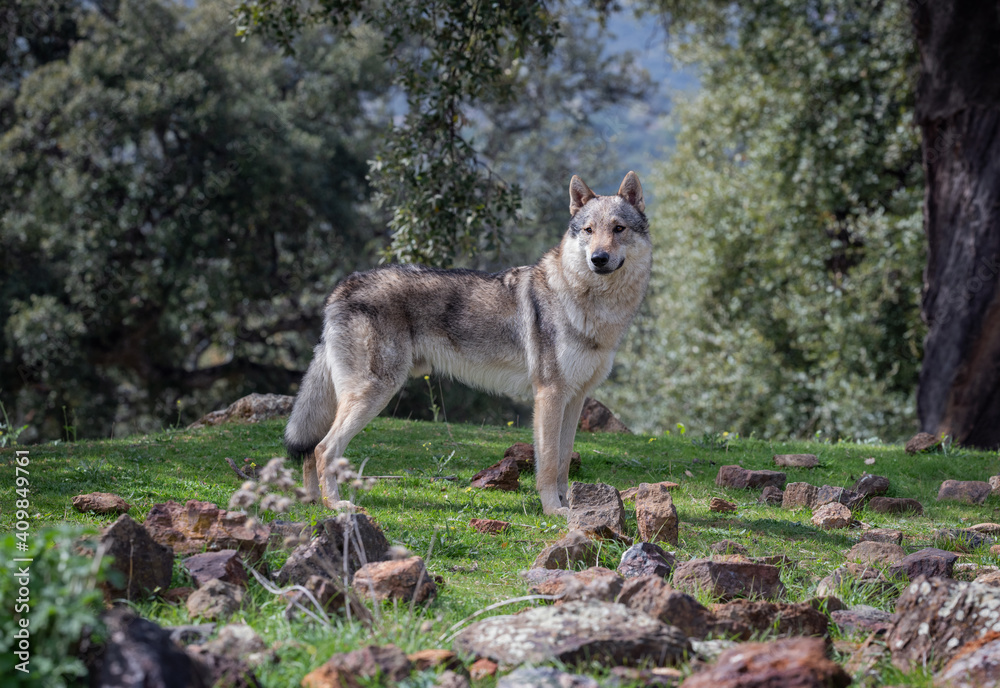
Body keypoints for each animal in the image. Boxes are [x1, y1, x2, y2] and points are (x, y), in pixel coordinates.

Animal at [286, 172, 652, 516]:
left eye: (618, 229)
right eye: (589, 230)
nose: (598, 258)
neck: (591, 305)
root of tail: (341, 287)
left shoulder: (575, 398)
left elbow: (563, 463)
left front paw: (569, 506)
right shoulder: (549, 395)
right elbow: (548, 463)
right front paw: (553, 510)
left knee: (310, 450)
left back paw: (313, 502)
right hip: (374, 393)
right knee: (323, 448)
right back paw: (336, 505)